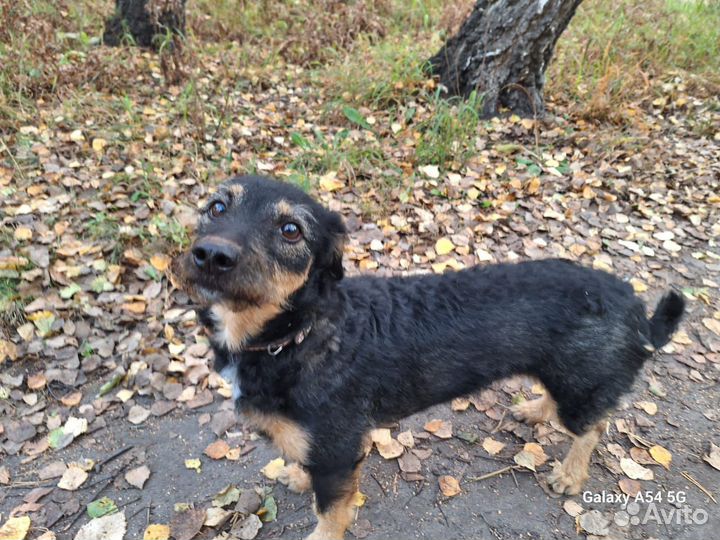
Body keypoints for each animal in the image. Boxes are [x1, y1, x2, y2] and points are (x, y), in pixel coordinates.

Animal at [172, 175, 684, 536]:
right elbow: (310, 474)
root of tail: (634, 305)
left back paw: (570, 476)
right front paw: (300, 478)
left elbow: (332, 512)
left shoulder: (338, 451)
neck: (299, 334)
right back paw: (535, 411)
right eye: (217, 206)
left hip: (581, 386)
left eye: (291, 230)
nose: (211, 255)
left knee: (594, 426)